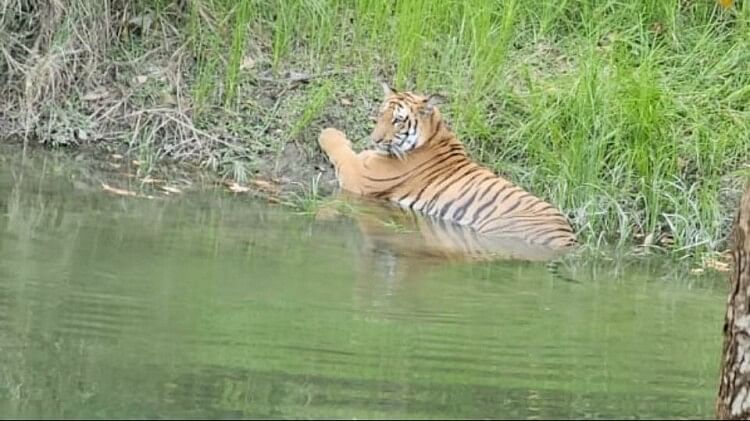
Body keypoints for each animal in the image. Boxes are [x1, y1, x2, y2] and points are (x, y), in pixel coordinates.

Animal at [320, 81, 580, 248]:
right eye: (380, 115)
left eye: (397, 120)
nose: (375, 140)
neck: (434, 135)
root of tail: (568, 240)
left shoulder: (359, 177)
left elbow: (340, 150)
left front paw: (327, 131)